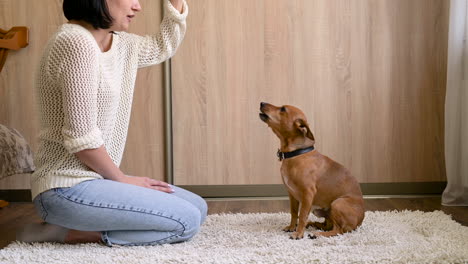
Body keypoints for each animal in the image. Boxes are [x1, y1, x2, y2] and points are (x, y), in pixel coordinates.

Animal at [260, 102, 366, 238]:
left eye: (283, 109)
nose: (261, 103)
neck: (297, 154)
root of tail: (359, 222)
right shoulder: (292, 194)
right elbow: (294, 213)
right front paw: (291, 227)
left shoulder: (307, 194)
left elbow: (302, 215)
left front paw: (298, 234)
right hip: (321, 211)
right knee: (327, 225)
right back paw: (313, 225)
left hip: (337, 203)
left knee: (338, 230)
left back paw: (317, 234)